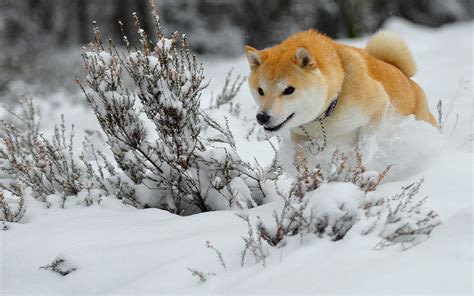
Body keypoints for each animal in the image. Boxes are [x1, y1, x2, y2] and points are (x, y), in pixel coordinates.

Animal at [246, 29, 438, 165]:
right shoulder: (301, 137)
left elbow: (364, 146)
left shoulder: (378, 107)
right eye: (260, 91)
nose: (262, 117)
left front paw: (356, 167)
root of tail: (405, 76)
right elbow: (302, 163)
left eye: (288, 90)